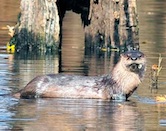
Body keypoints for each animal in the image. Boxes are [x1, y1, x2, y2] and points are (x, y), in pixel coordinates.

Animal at [14, 49, 147, 100]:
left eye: (140, 55)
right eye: (128, 56)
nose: (134, 58)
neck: (120, 81)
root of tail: (26, 86)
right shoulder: (117, 93)